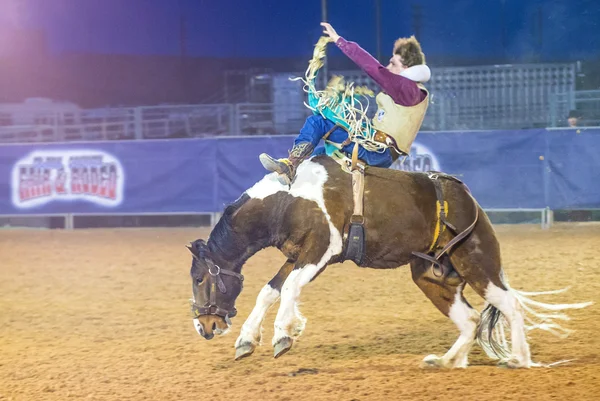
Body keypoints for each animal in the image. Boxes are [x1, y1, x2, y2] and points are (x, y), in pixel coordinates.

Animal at [186, 155, 592, 368]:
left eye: (199, 278)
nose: (203, 327)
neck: (288, 199)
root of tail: (467, 198)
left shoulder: (321, 249)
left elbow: (288, 290)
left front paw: (284, 334)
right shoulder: (297, 254)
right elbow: (270, 291)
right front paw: (247, 339)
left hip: (477, 261)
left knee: (509, 304)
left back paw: (520, 360)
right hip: (431, 276)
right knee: (471, 319)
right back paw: (446, 362)